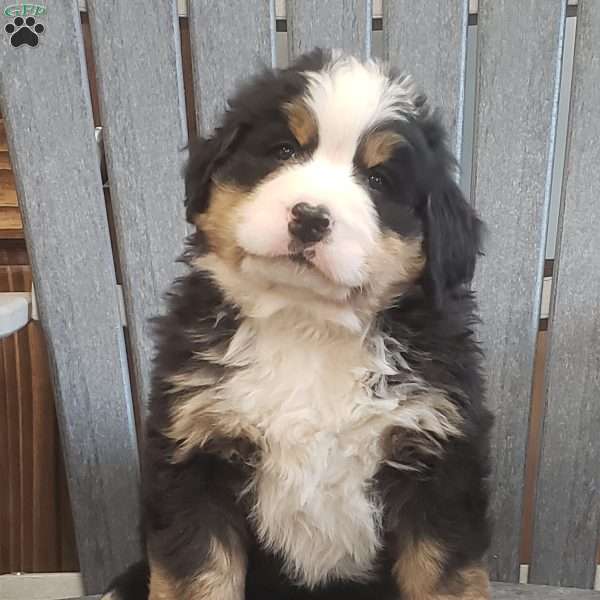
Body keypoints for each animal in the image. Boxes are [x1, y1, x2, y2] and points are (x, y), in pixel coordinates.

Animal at [105, 51, 494, 600]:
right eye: (284, 150)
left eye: (378, 181)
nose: (310, 216)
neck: (307, 326)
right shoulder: (196, 457)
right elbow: (196, 575)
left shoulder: (438, 467)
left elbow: (444, 578)